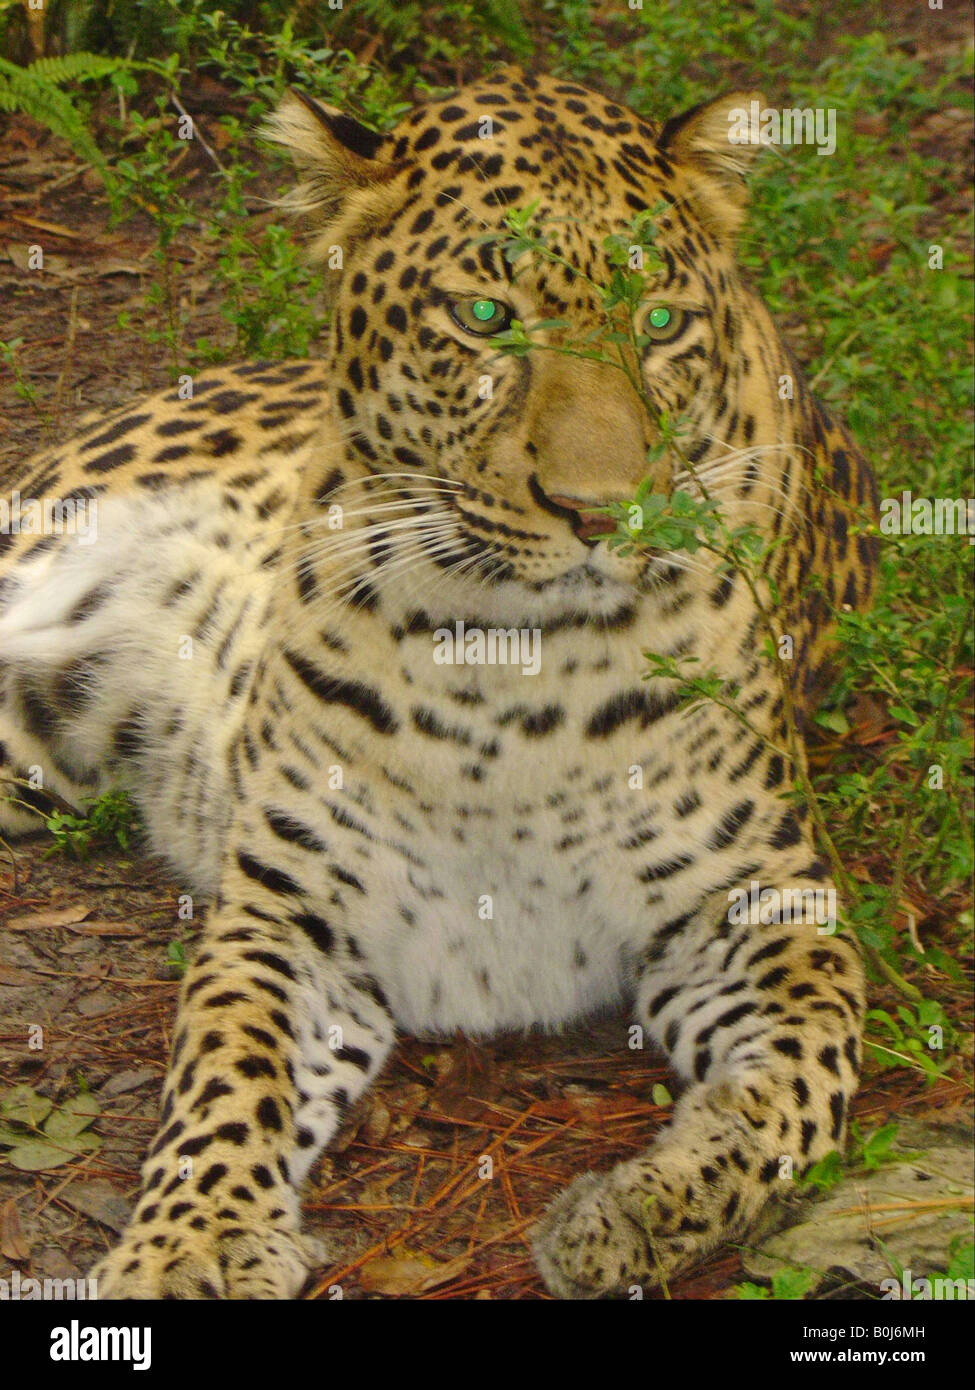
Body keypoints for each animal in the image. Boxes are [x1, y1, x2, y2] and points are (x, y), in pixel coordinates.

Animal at [0, 67, 879, 1298]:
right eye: (486, 318)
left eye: (658, 323)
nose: (603, 513)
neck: (510, 676)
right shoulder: (294, 909)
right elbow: (228, 1070)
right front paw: (191, 1244)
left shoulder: (763, 902)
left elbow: (796, 1087)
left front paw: (635, 1209)